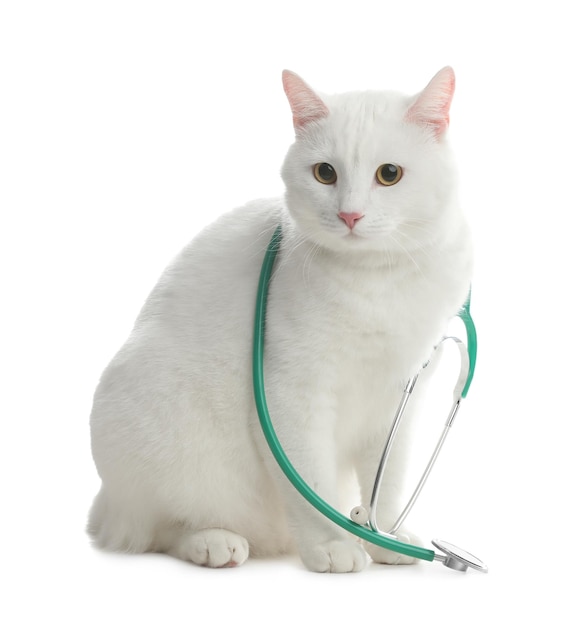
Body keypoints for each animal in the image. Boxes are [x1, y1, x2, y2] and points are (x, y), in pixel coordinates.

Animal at [89, 67, 472, 572]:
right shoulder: (294, 394)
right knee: (160, 527)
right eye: (325, 173)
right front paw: (332, 544)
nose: (349, 214)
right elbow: (310, 484)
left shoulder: (402, 398)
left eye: (389, 175)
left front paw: (385, 534)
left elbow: (387, 481)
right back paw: (213, 541)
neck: (378, 279)